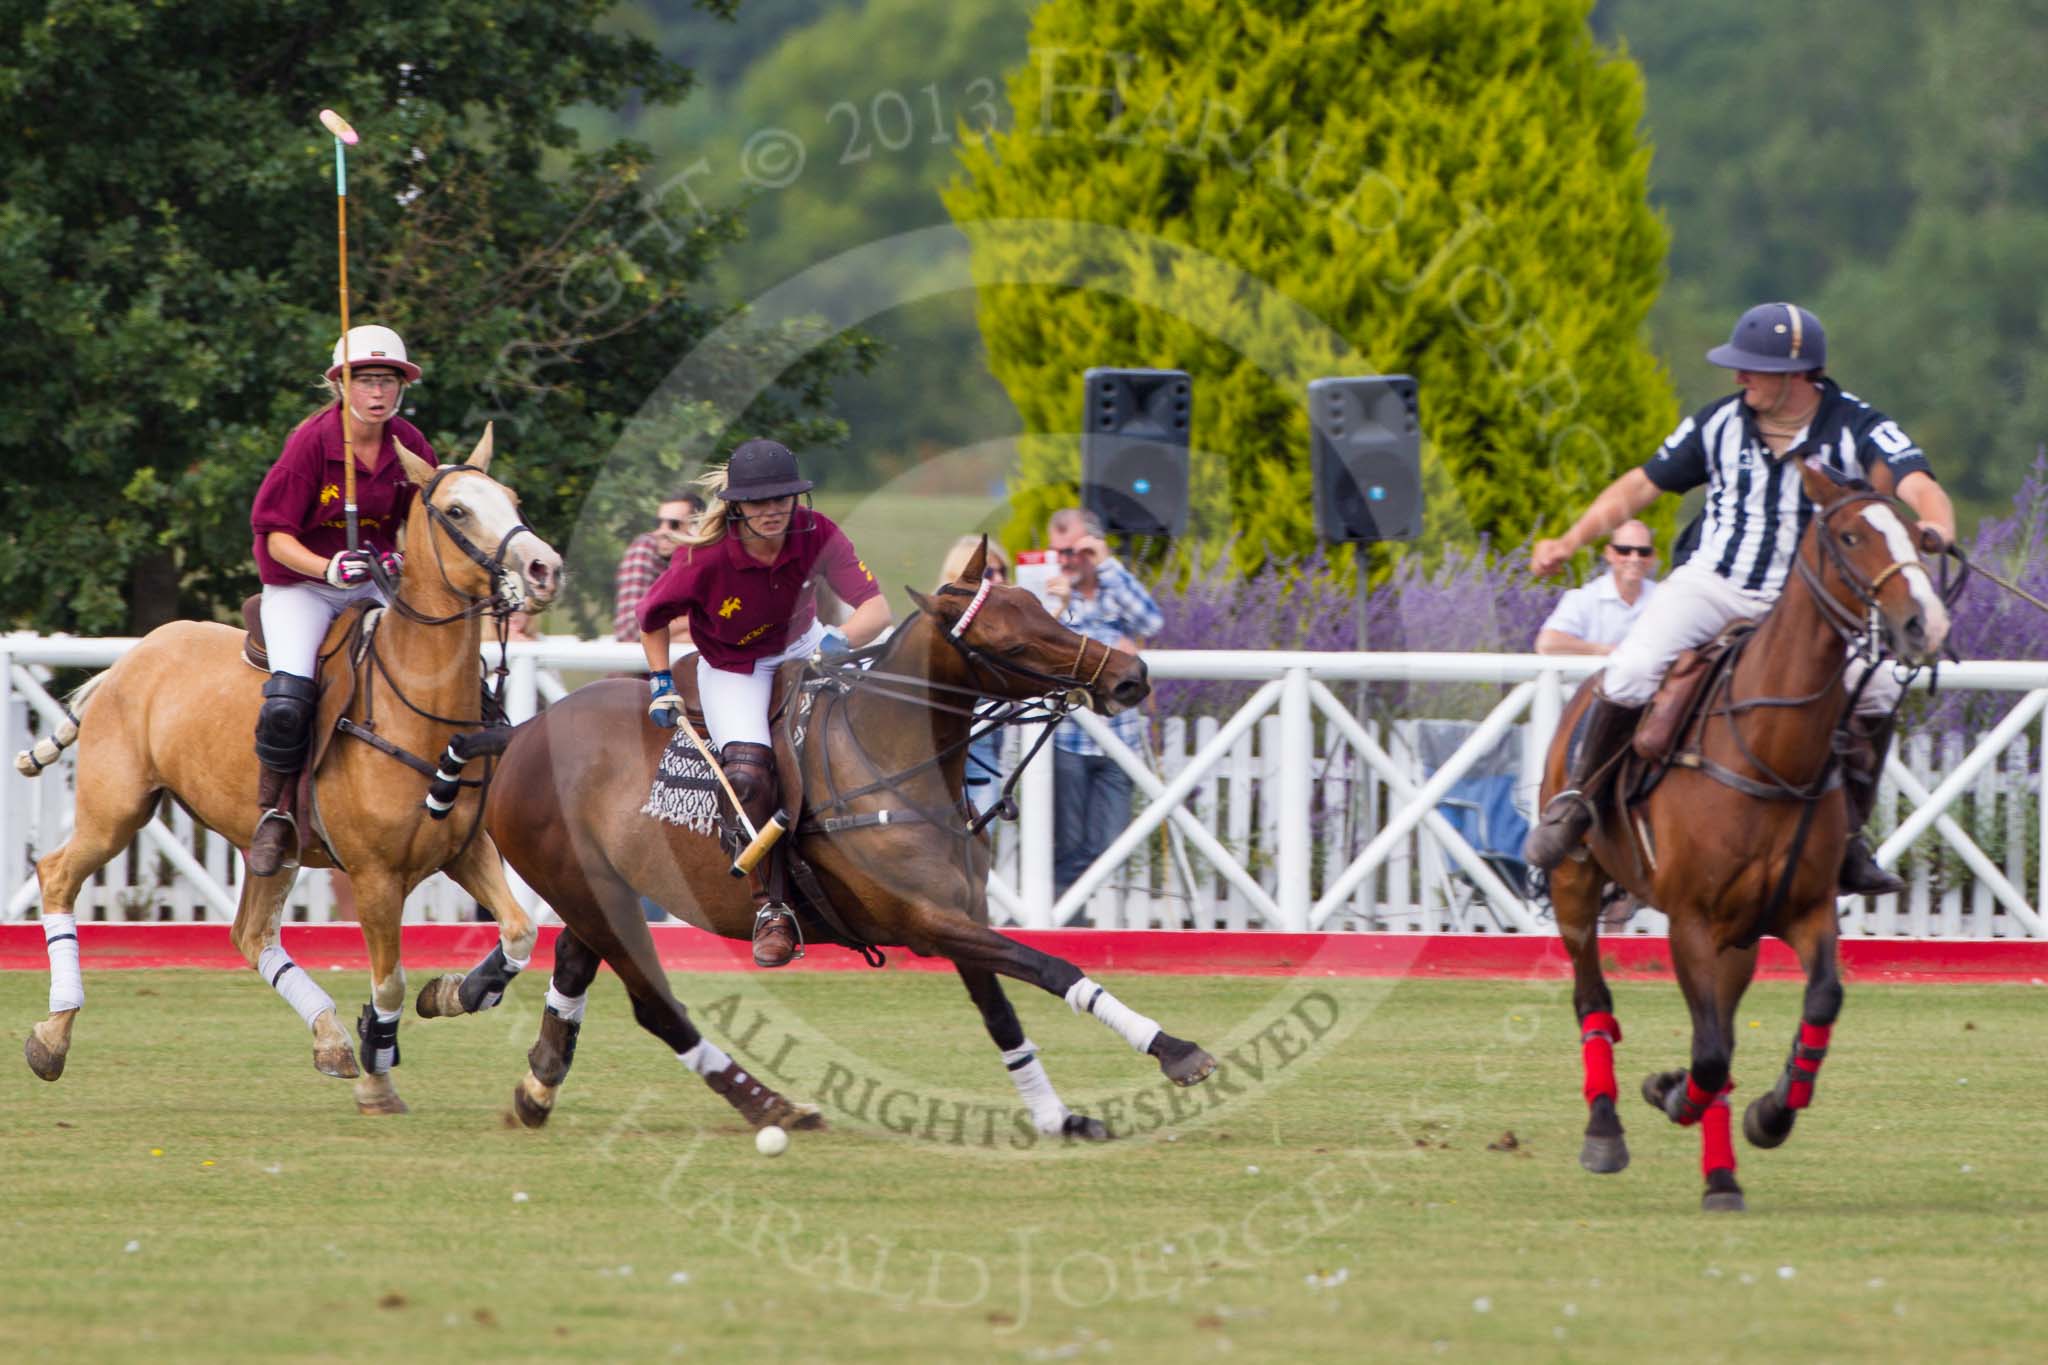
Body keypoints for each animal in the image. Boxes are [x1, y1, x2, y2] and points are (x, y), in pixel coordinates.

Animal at [16, 431, 565, 1113]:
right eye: (457, 511)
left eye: (512, 499)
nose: (544, 568)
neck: (420, 706)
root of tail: (129, 659)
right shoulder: (376, 876)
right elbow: (389, 982)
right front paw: (378, 1078)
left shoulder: (465, 848)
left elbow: (519, 933)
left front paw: (449, 995)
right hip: (114, 809)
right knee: (56, 874)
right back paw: (52, 1036)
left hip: (270, 843)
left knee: (252, 934)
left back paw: (330, 1038)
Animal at [468, 540, 1212, 1137]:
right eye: (1010, 643)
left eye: (1046, 609)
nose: (1131, 676)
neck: (898, 759)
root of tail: (518, 733)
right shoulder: (926, 922)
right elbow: (1052, 967)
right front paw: (1177, 1051)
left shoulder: (962, 913)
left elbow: (1003, 1016)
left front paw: (1058, 1116)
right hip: (584, 888)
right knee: (656, 1005)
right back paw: (770, 1106)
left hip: (599, 889)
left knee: (574, 966)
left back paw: (538, 1086)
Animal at [1540, 462, 1957, 1219]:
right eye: (1850, 536)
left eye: (1918, 536)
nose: (1923, 624)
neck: (1773, 750)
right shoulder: (1690, 921)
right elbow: (1708, 1055)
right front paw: (1673, 1094)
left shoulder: (1804, 911)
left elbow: (1814, 1005)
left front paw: (1765, 1116)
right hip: (1575, 885)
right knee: (1594, 1001)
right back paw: (1606, 1130)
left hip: (1737, 940)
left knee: (1721, 1032)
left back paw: (1720, 1171)